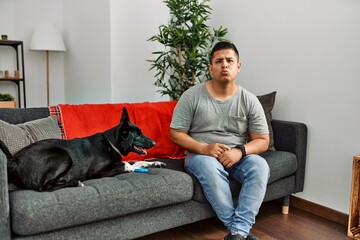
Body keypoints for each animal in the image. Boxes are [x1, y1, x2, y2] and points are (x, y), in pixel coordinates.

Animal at [0, 108, 165, 191]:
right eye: (138, 135)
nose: (155, 142)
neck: (111, 142)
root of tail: (13, 160)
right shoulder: (98, 172)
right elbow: (127, 164)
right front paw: (134, 167)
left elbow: (136, 161)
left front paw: (155, 163)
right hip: (63, 155)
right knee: (44, 187)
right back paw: (75, 182)